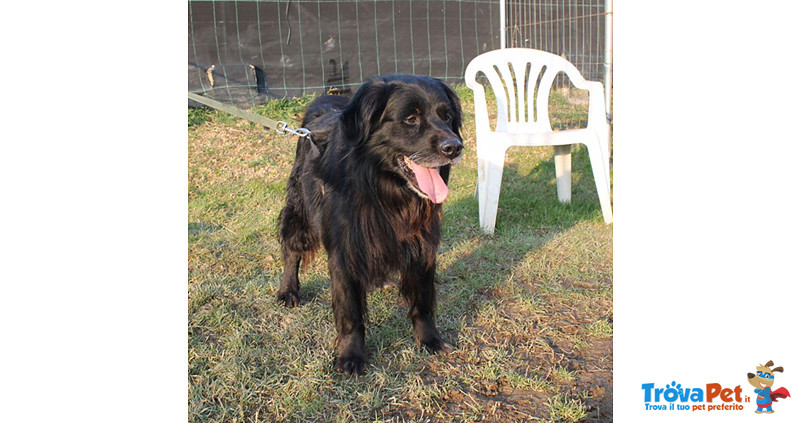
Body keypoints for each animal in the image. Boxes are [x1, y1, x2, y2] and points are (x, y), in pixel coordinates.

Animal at [276, 74, 462, 376]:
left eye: (447, 116)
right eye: (411, 119)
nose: (455, 147)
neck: (384, 190)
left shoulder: (422, 245)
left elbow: (422, 301)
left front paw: (430, 340)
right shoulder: (344, 251)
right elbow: (350, 312)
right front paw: (351, 356)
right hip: (299, 210)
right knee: (292, 249)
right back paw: (288, 290)